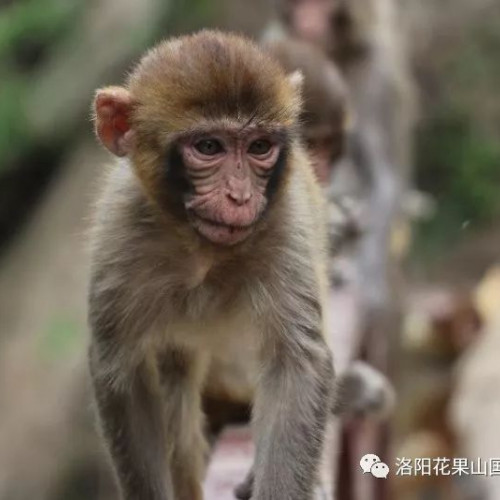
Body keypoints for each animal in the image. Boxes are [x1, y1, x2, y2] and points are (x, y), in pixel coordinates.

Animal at [88, 31, 336, 500]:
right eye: (208, 147)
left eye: (259, 147)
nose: (240, 197)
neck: (202, 248)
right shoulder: (120, 231)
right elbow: (123, 373)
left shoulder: (286, 221)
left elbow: (294, 365)